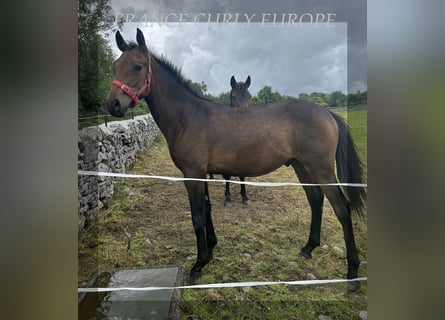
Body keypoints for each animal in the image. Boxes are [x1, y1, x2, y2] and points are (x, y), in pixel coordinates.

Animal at [106, 29, 366, 290]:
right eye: (115, 66)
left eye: (138, 66)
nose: (113, 104)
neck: (188, 117)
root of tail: (327, 112)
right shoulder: (203, 173)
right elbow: (208, 210)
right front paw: (211, 249)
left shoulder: (193, 174)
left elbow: (197, 216)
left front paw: (198, 265)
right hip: (302, 167)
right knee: (316, 200)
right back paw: (308, 248)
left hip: (321, 169)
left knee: (342, 208)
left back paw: (352, 274)